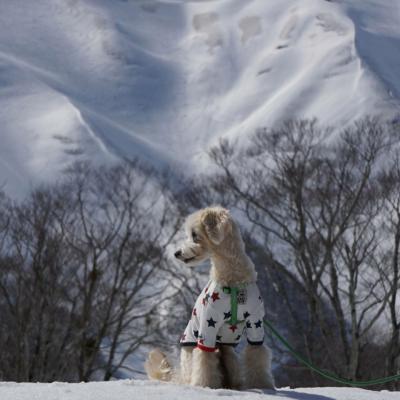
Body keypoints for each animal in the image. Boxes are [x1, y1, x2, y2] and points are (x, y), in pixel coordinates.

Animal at [145, 208, 274, 390]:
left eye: (194, 234)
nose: (176, 253)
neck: (233, 282)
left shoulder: (255, 324)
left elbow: (257, 355)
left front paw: (261, 384)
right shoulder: (208, 325)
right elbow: (204, 359)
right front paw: (204, 384)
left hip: (230, 354)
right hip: (191, 353)